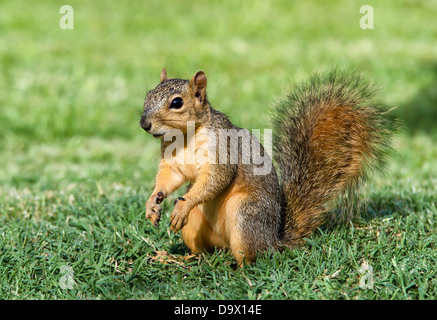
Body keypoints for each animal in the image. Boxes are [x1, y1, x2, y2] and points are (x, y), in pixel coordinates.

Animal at [141, 67, 396, 264]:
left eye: (177, 102)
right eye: (147, 95)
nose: (144, 124)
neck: (185, 137)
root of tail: (273, 240)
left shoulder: (223, 148)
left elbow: (216, 179)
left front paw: (183, 206)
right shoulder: (172, 161)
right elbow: (169, 178)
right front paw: (152, 203)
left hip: (244, 213)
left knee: (251, 256)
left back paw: (238, 270)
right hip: (194, 225)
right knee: (203, 253)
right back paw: (179, 258)